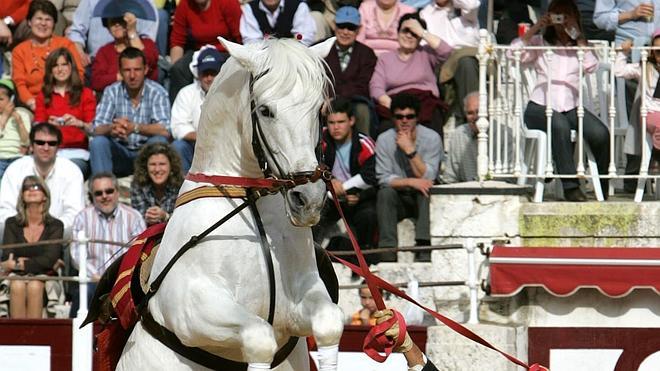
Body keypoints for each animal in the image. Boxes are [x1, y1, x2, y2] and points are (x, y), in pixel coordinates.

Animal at [117, 38, 346, 371]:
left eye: (318, 109)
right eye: (265, 110)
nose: (309, 198)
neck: (249, 197)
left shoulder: (301, 297)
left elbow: (330, 323)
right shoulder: (190, 309)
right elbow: (259, 339)